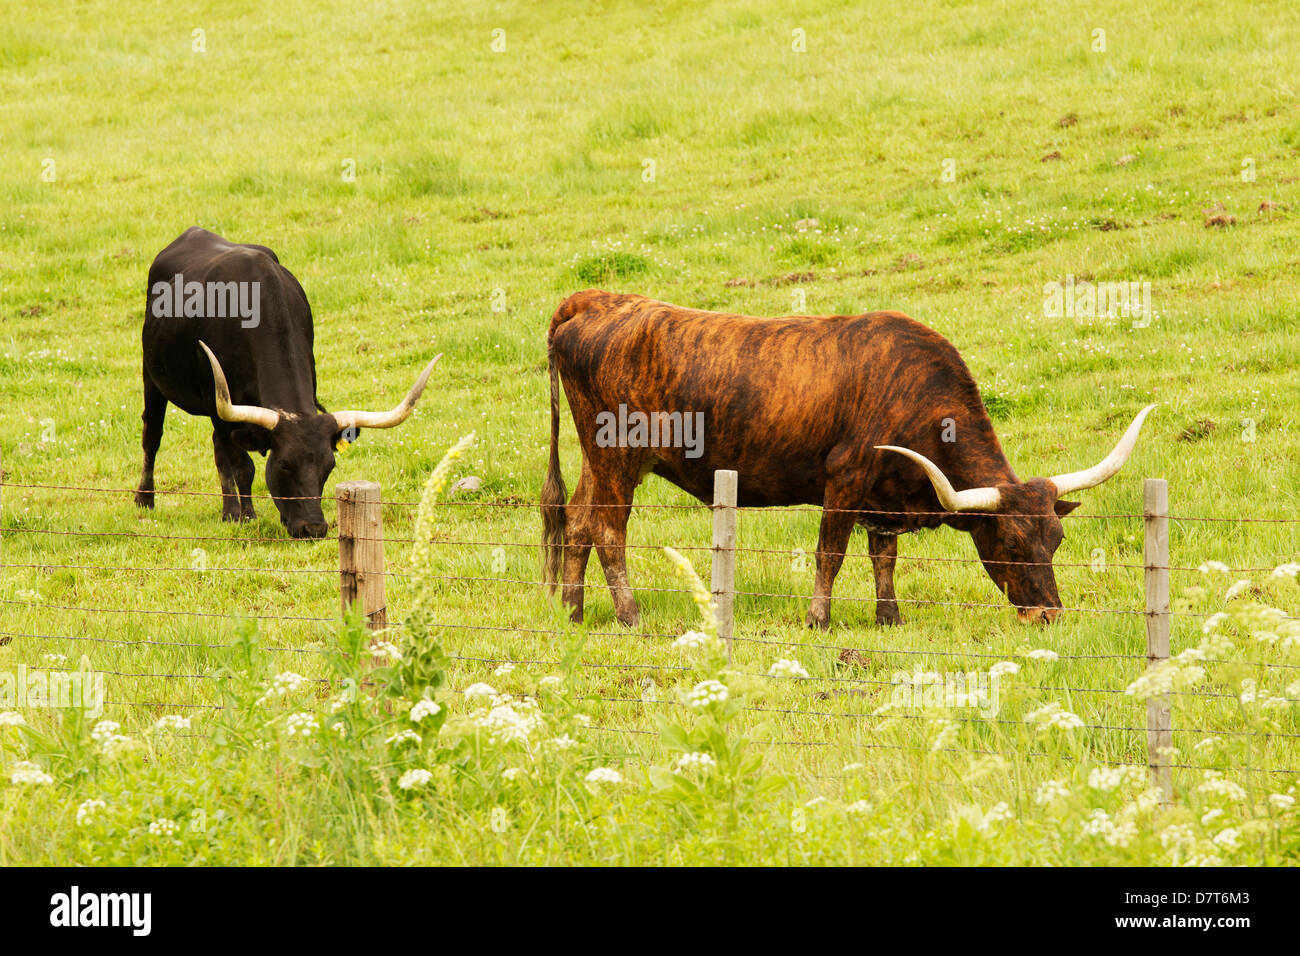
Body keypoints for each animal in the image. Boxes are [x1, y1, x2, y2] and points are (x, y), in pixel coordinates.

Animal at [136, 227, 440, 537]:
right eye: (283, 465)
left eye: (329, 466)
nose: (313, 528)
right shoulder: (217, 400)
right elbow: (243, 466)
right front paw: (246, 517)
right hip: (152, 377)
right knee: (153, 435)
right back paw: (146, 499)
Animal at [540, 290, 1154, 628]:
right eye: (1008, 541)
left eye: (1056, 539)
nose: (1048, 614)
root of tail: (595, 301)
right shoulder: (844, 479)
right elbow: (829, 554)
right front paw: (818, 620)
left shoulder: (883, 497)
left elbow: (884, 558)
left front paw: (890, 617)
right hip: (617, 459)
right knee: (608, 530)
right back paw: (630, 615)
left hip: (596, 459)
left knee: (576, 521)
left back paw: (572, 610)